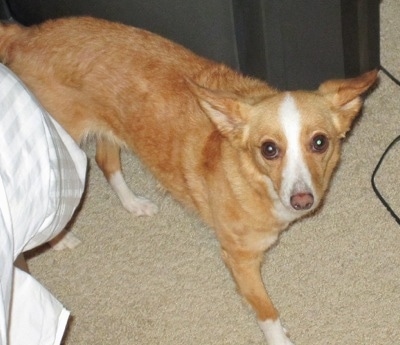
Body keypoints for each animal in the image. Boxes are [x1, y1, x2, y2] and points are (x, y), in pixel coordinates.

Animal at [0, 17, 378, 342]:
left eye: (320, 142)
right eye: (269, 149)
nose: (303, 201)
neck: (252, 178)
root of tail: (24, 34)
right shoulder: (240, 260)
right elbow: (267, 312)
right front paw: (279, 338)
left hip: (111, 131)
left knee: (106, 163)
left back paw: (133, 204)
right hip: (62, 139)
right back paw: (59, 237)